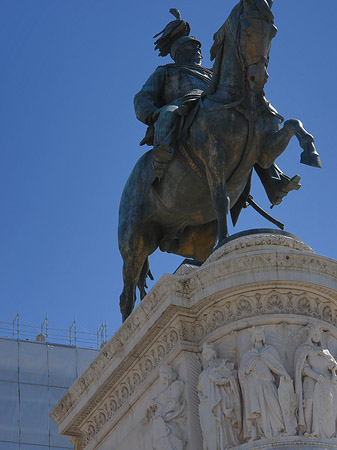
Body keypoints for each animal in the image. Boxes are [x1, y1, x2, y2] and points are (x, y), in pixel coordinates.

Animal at [118, 0, 320, 322]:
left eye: (272, 30)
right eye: (247, 30)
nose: (258, 78)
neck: (242, 102)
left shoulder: (264, 152)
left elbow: (293, 124)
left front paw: (309, 153)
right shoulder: (214, 156)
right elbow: (220, 198)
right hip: (134, 241)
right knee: (126, 297)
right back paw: (127, 329)